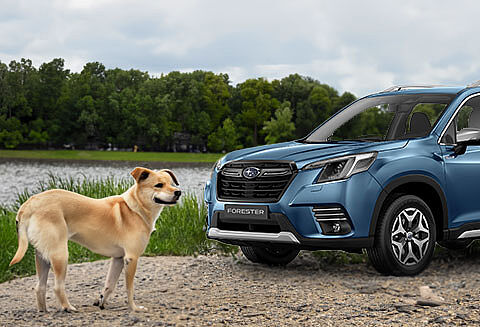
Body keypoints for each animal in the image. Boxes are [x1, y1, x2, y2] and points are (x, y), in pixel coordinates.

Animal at [8, 168, 181, 314]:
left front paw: (102, 302)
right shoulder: (131, 258)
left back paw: (43, 310)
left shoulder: (118, 259)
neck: (136, 207)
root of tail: (29, 204)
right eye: (159, 185)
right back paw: (68, 307)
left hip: (42, 256)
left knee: (40, 287)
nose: (178, 192)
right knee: (57, 287)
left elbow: (109, 285)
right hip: (60, 255)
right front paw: (134, 308)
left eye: (172, 184)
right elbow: (129, 289)